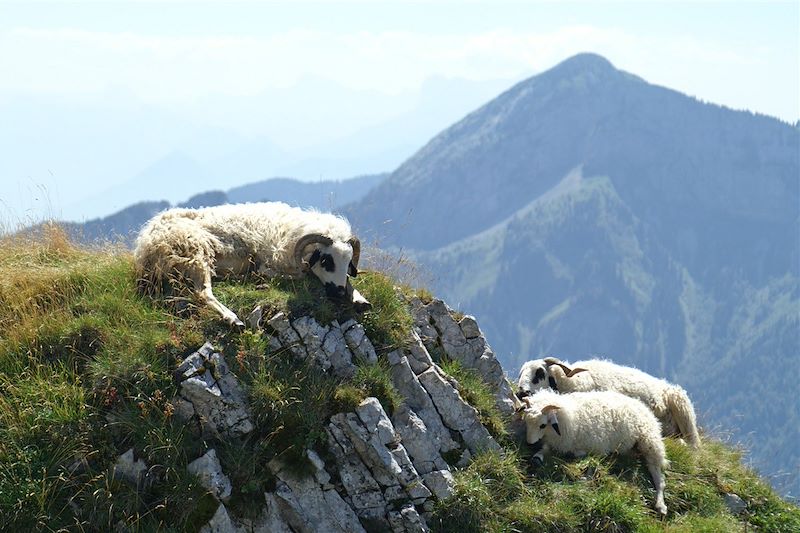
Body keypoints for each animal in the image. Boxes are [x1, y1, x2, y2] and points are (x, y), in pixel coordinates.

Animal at [134, 201, 372, 326]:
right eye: (325, 260)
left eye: (348, 262)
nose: (338, 294)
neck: (293, 231)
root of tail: (146, 242)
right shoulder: (271, 261)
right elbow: (292, 274)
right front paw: (259, 278)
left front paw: (360, 299)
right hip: (197, 253)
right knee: (202, 292)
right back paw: (233, 319)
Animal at [520, 386, 668, 516]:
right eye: (526, 422)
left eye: (542, 425)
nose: (529, 443)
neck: (571, 418)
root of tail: (642, 406)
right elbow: (545, 449)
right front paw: (537, 457)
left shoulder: (598, 448)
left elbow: (590, 463)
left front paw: (585, 476)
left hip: (649, 441)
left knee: (658, 477)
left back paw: (661, 505)